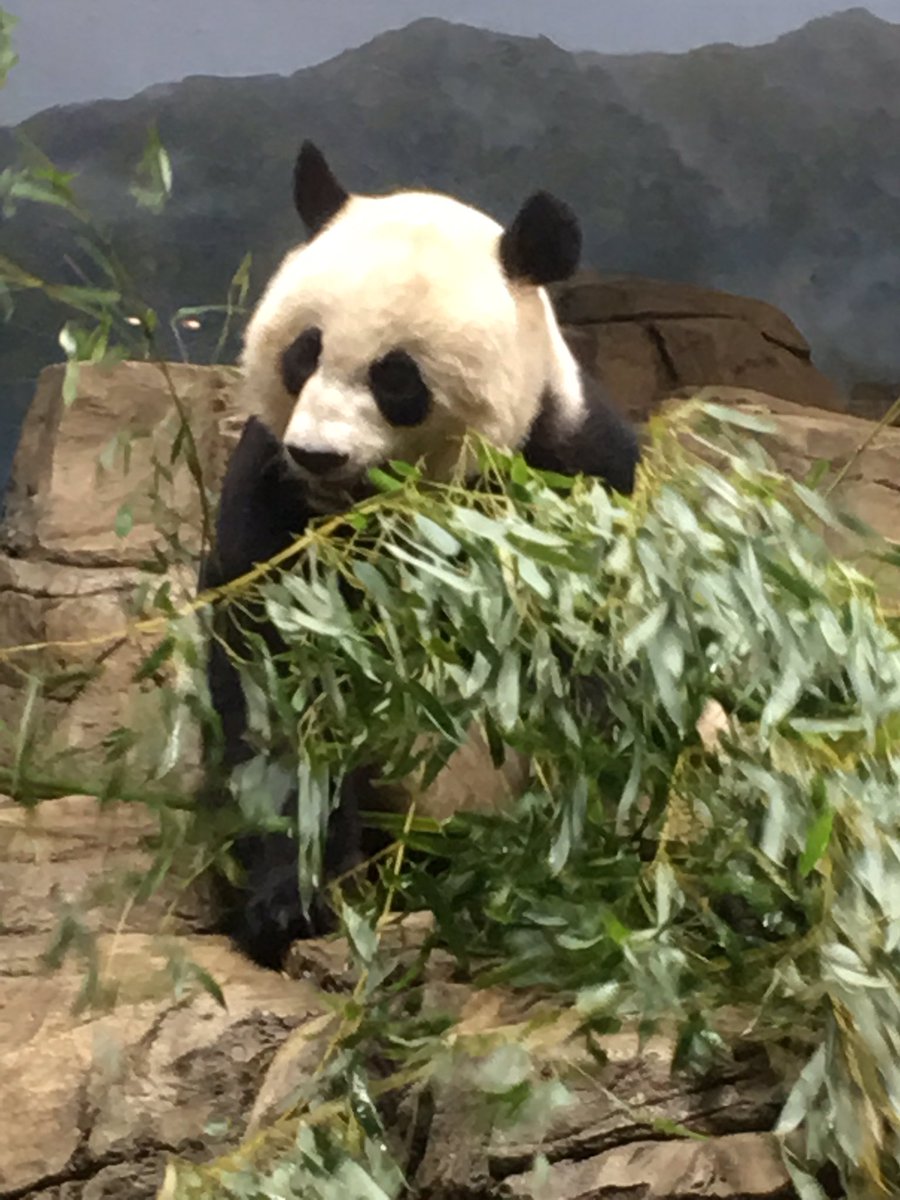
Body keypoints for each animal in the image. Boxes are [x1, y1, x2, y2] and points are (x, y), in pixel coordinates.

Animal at [198, 142, 641, 969]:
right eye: (302, 354)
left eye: (395, 377)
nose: (319, 455)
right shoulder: (274, 498)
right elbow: (274, 675)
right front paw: (289, 903)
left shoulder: (572, 473)